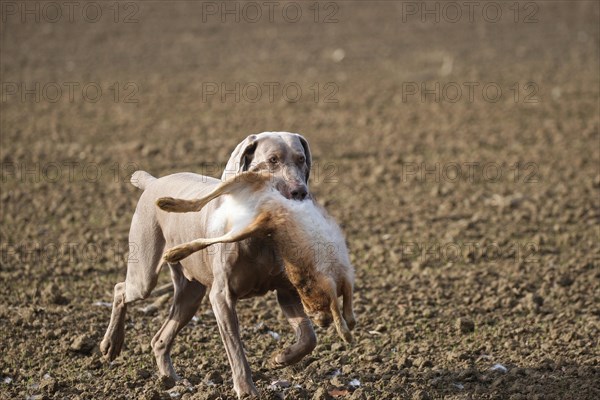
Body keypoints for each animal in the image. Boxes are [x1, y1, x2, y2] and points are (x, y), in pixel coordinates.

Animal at [102, 132, 318, 396]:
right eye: (273, 160)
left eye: (301, 159)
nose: (300, 192)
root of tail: (153, 182)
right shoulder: (221, 297)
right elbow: (236, 350)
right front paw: (246, 390)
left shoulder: (286, 290)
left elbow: (309, 338)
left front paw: (281, 357)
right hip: (145, 274)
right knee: (121, 290)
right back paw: (111, 344)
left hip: (191, 294)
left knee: (160, 339)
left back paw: (171, 380)